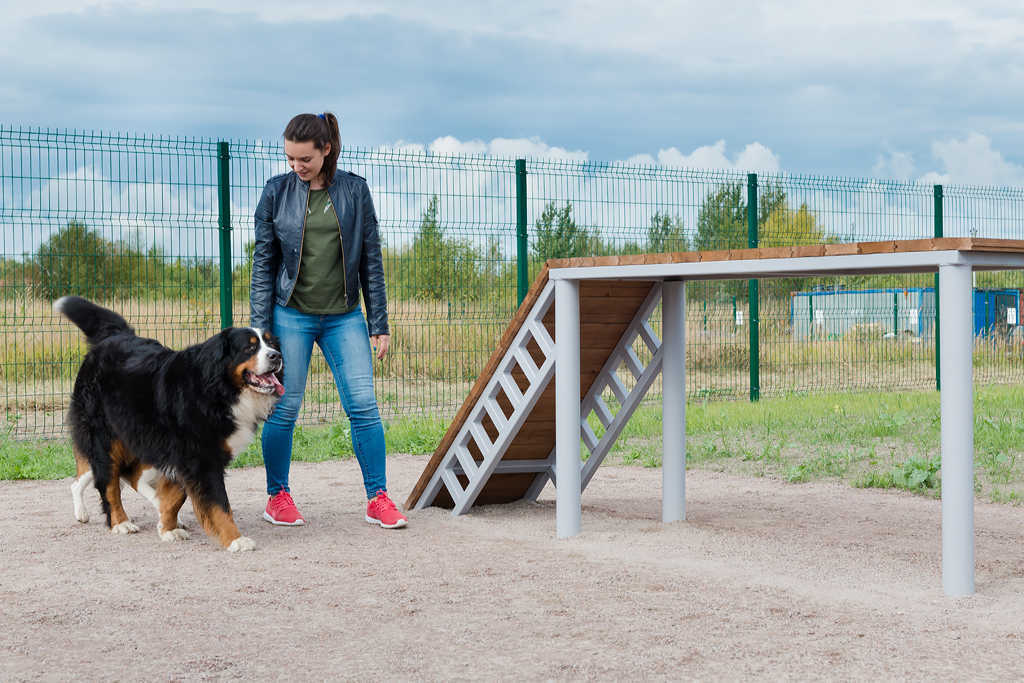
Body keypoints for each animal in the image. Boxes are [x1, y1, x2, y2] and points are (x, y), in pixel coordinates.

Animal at [58, 296, 286, 552]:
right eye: (250, 347)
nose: (276, 356)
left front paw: (168, 528)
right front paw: (234, 539)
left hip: (140, 439)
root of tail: (114, 336)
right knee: (108, 482)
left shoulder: (183, 455)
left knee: (125, 476)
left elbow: (178, 495)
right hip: (106, 438)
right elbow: (219, 503)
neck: (217, 388)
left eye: (271, 344)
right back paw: (119, 522)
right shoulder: (200, 457)